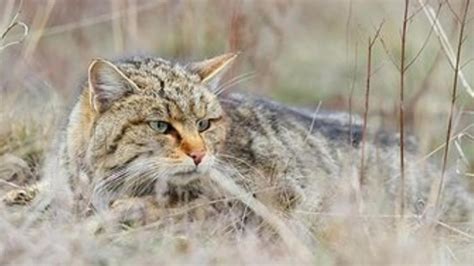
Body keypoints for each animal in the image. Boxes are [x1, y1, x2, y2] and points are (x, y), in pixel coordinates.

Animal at [3, 52, 474, 231]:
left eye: (206, 123)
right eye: (161, 126)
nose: (199, 155)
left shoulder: (262, 201)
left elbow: (166, 207)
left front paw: (124, 209)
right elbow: (40, 191)